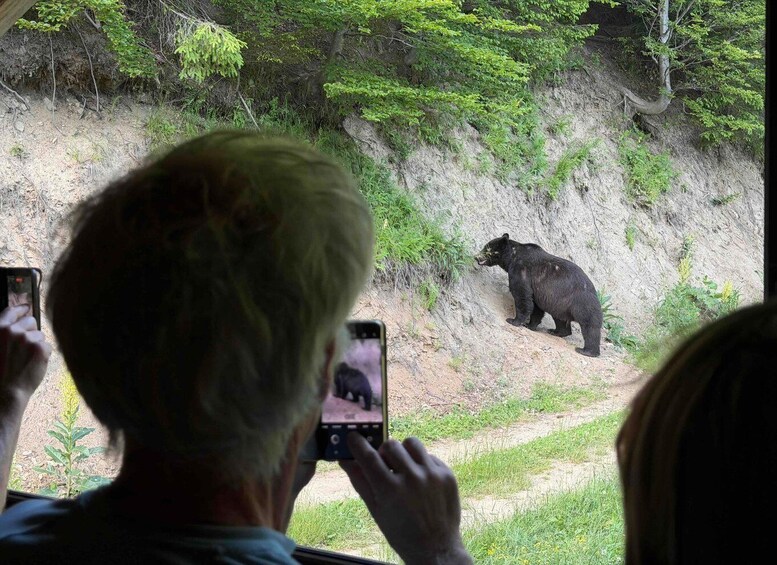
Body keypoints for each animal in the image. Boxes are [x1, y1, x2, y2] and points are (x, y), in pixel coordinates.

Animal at [475, 233, 603, 357]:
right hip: (561, 305)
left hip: (582, 303)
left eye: (487, 248)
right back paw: (556, 331)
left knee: (590, 327)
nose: (476, 257)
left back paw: (587, 351)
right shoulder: (537, 291)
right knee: (560, 319)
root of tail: (595, 292)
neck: (512, 256)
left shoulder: (521, 271)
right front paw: (530, 325)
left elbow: (522, 296)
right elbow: (536, 307)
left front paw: (513, 320)